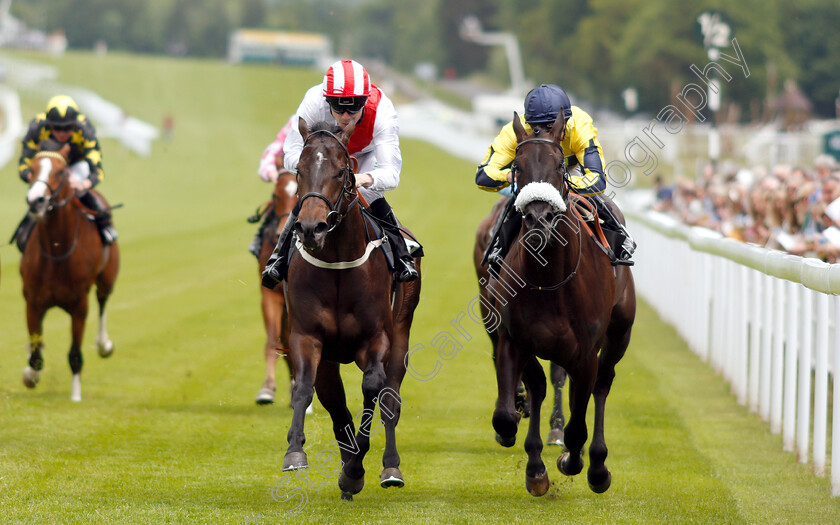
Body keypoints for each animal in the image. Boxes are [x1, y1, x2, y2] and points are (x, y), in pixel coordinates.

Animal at [21, 139, 120, 402]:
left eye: (60, 171)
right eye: (31, 169)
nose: (36, 200)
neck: (57, 251)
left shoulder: (79, 305)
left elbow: (75, 354)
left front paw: (76, 396)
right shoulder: (33, 301)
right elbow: (36, 354)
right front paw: (30, 374)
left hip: (107, 279)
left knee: (103, 301)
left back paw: (104, 344)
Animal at [282, 117, 424, 500]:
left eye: (341, 172)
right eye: (299, 171)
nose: (311, 228)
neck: (338, 262)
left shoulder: (376, 339)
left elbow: (373, 389)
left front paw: (357, 468)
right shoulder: (306, 336)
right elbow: (306, 388)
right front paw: (295, 452)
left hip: (401, 333)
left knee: (390, 400)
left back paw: (389, 467)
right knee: (335, 402)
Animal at [476, 110, 632, 496]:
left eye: (560, 164)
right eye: (517, 165)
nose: (538, 220)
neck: (548, 280)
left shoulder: (586, 353)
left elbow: (578, 424)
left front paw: (573, 461)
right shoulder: (514, 340)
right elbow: (508, 411)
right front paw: (533, 465)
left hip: (618, 335)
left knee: (602, 384)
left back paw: (597, 466)